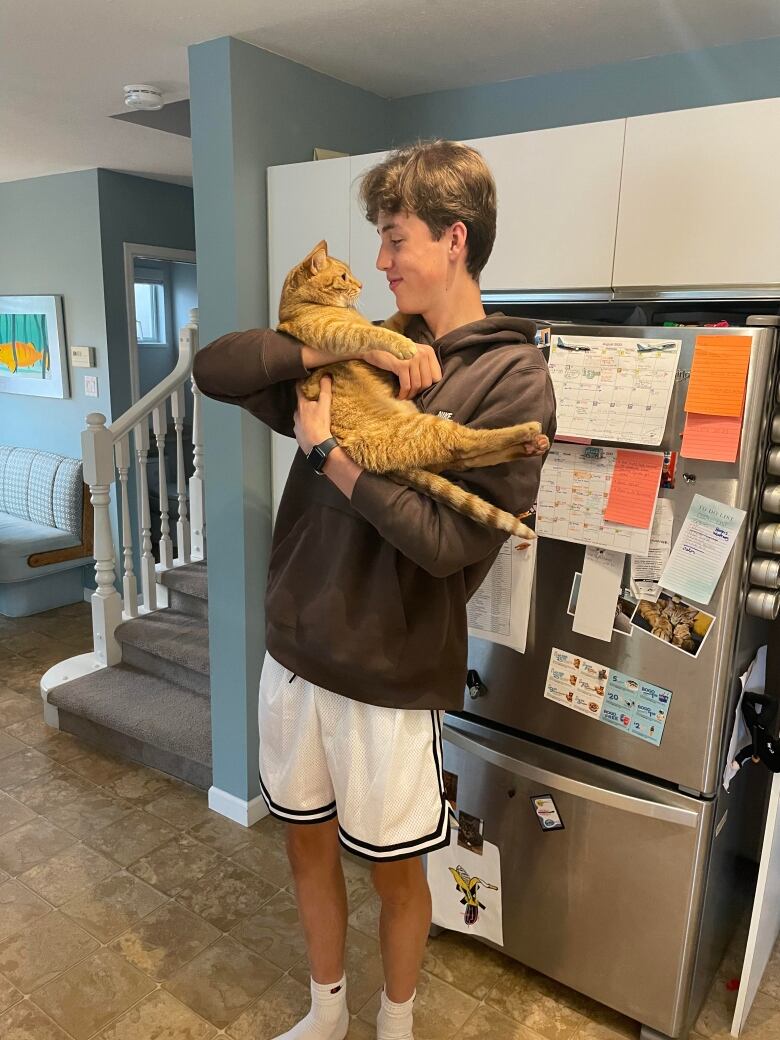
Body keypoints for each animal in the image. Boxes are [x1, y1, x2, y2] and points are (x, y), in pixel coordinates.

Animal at [278, 238, 553, 540]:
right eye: (343, 277)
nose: (361, 284)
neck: (304, 303)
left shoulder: (381, 322)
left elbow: (395, 318)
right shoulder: (334, 333)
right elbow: (373, 334)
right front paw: (407, 347)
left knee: (460, 458)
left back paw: (530, 445)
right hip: (425, 428)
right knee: (465, 445)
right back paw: (527, 433)